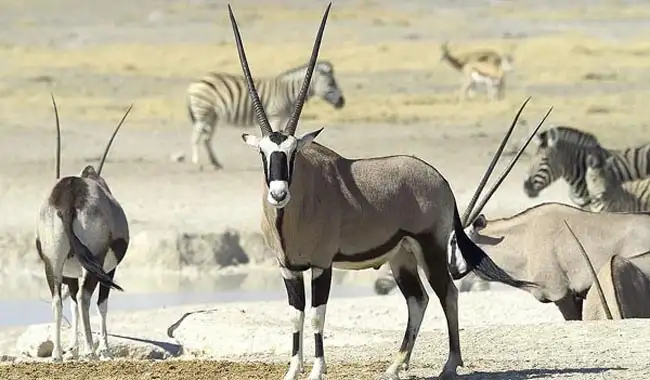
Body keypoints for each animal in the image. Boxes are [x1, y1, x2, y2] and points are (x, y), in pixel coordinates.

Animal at [186, 61, 344, 169]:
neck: (288, 91)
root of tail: (194, 84)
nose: (342, 102)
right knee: (196, 136)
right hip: (203, 112)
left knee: (206, 138)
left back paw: (216, 163)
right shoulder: (275, 116)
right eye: (331, 83)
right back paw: (196, 162)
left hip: (212, 116)